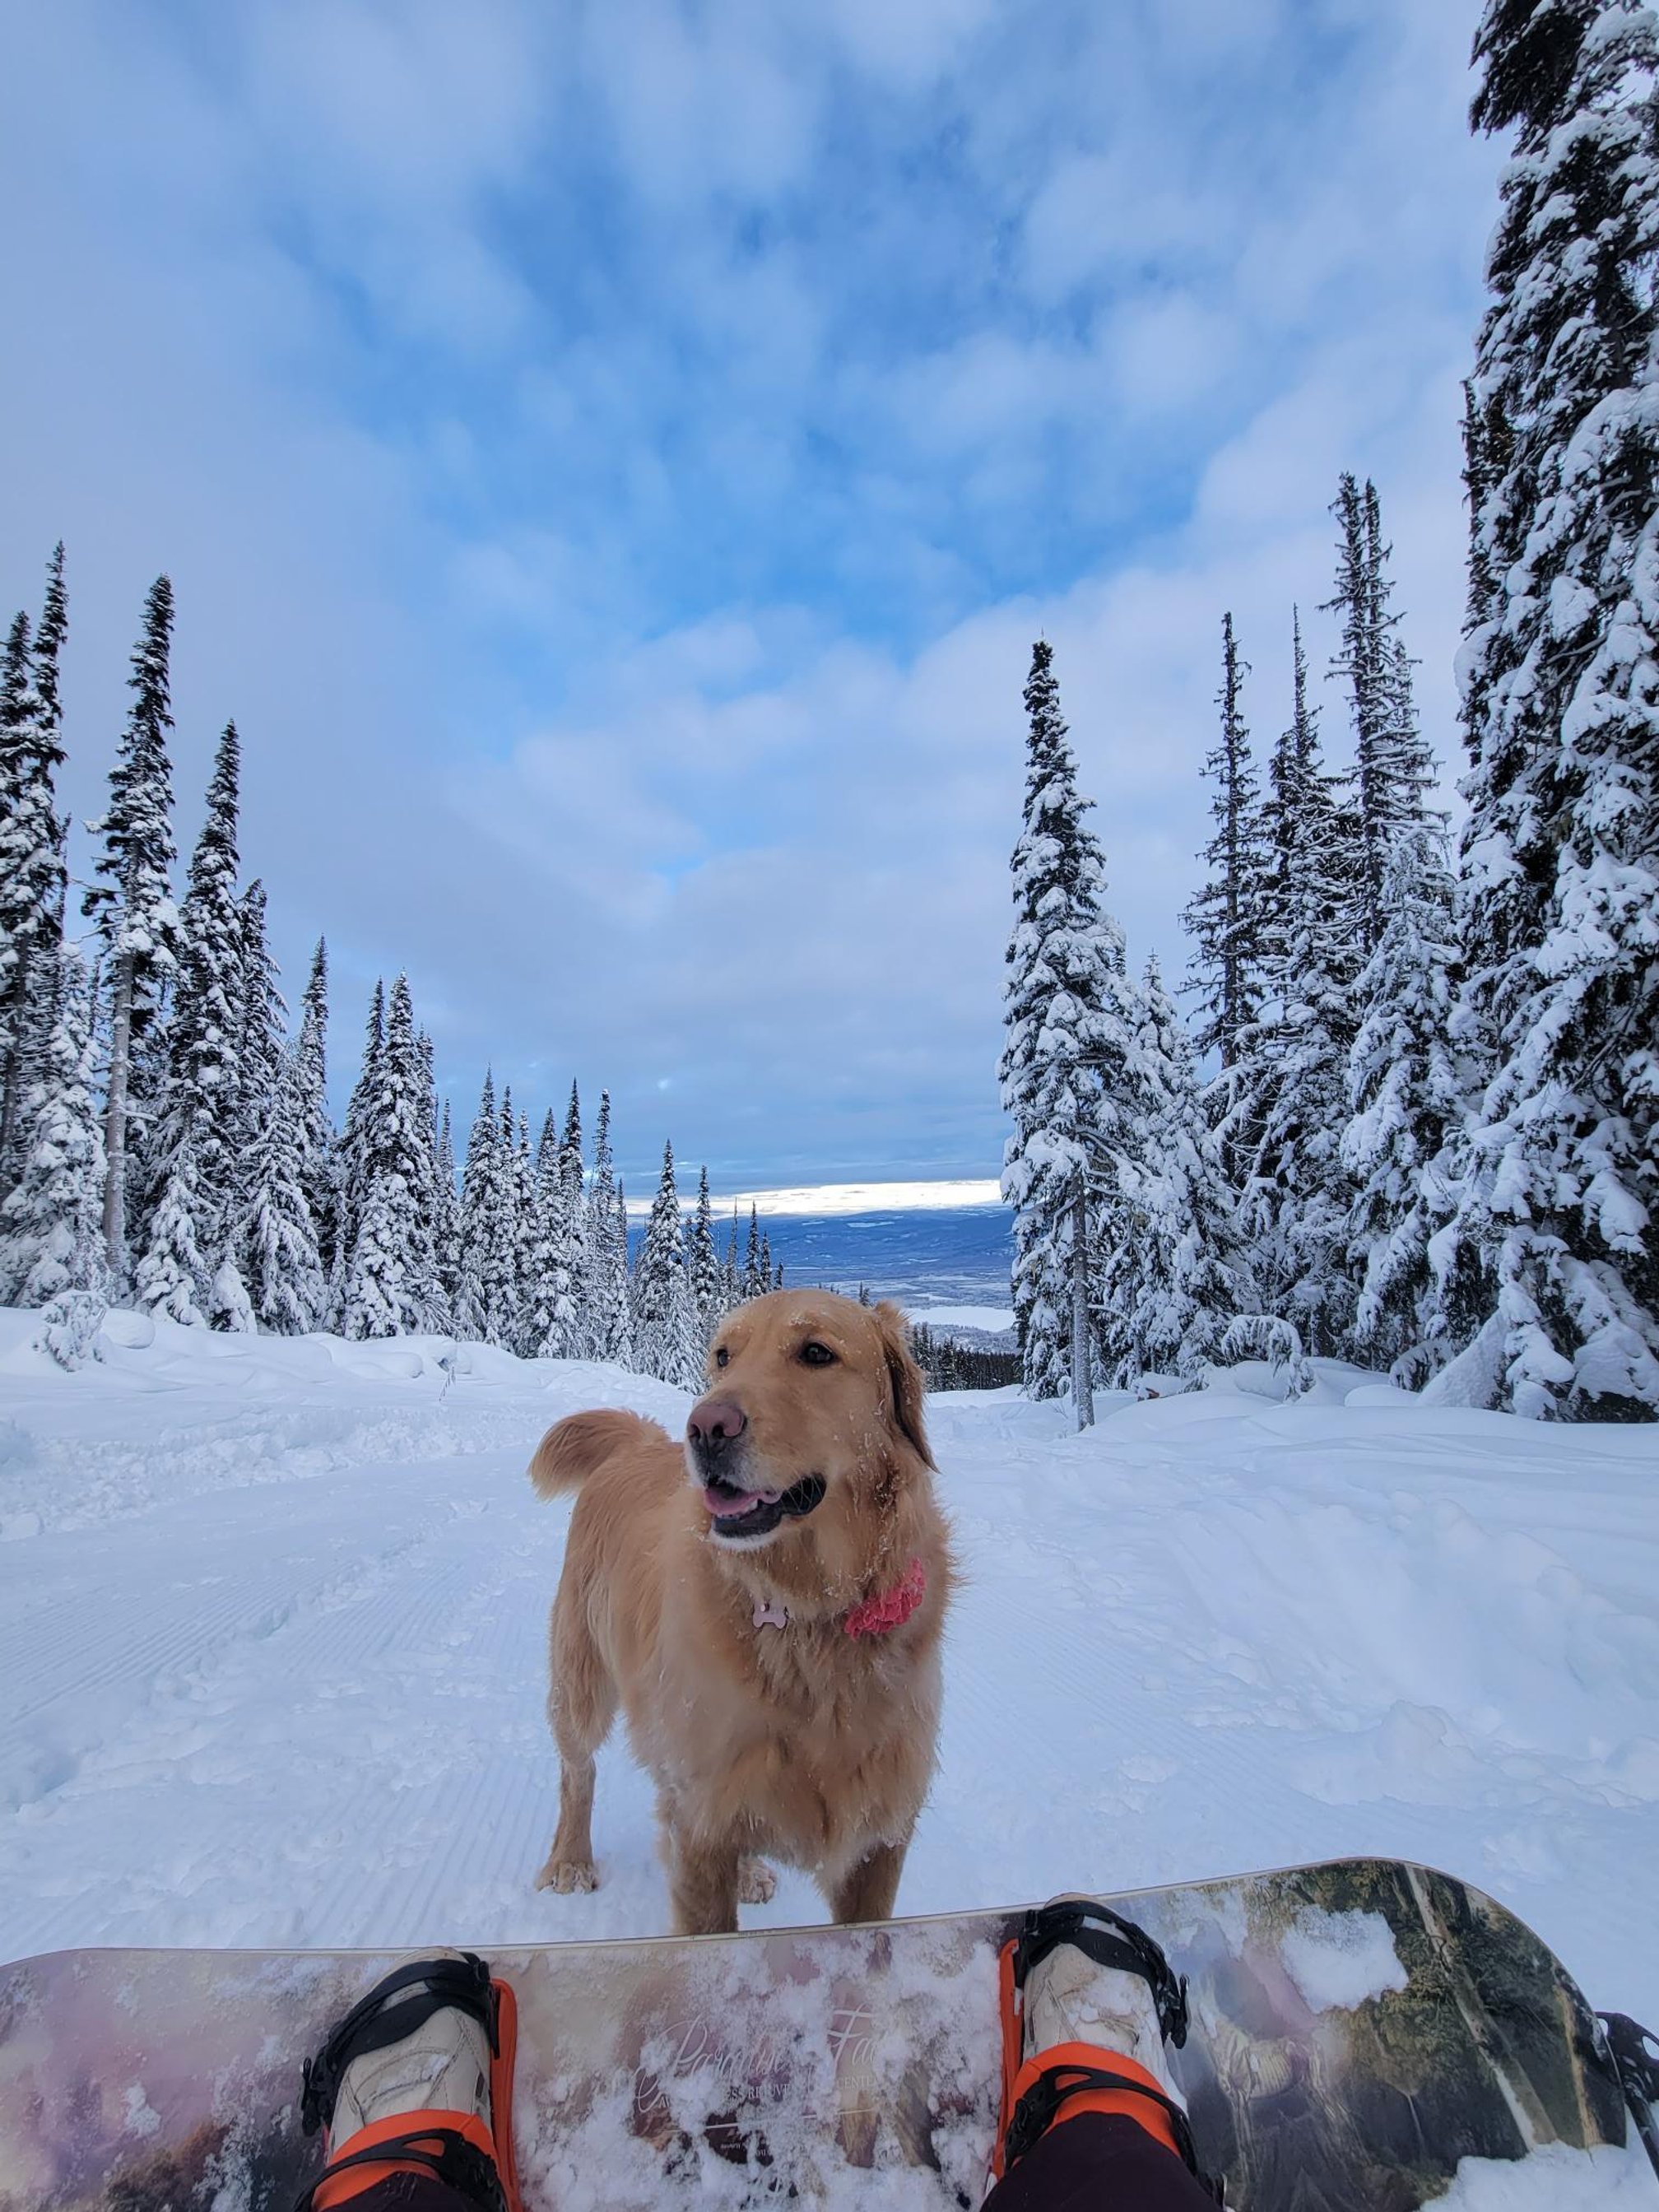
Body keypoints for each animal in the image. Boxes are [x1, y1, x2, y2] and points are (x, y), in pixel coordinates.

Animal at [527, 1289, 953, 1935]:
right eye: (723, 1356)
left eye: (816, 1353)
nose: (705, 1427)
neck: (808, 1613)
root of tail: (640, 1441)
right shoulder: (697, 1823)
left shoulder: (879, 1839)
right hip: (581, 1675)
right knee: (578, 1772)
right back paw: (571, 1860)